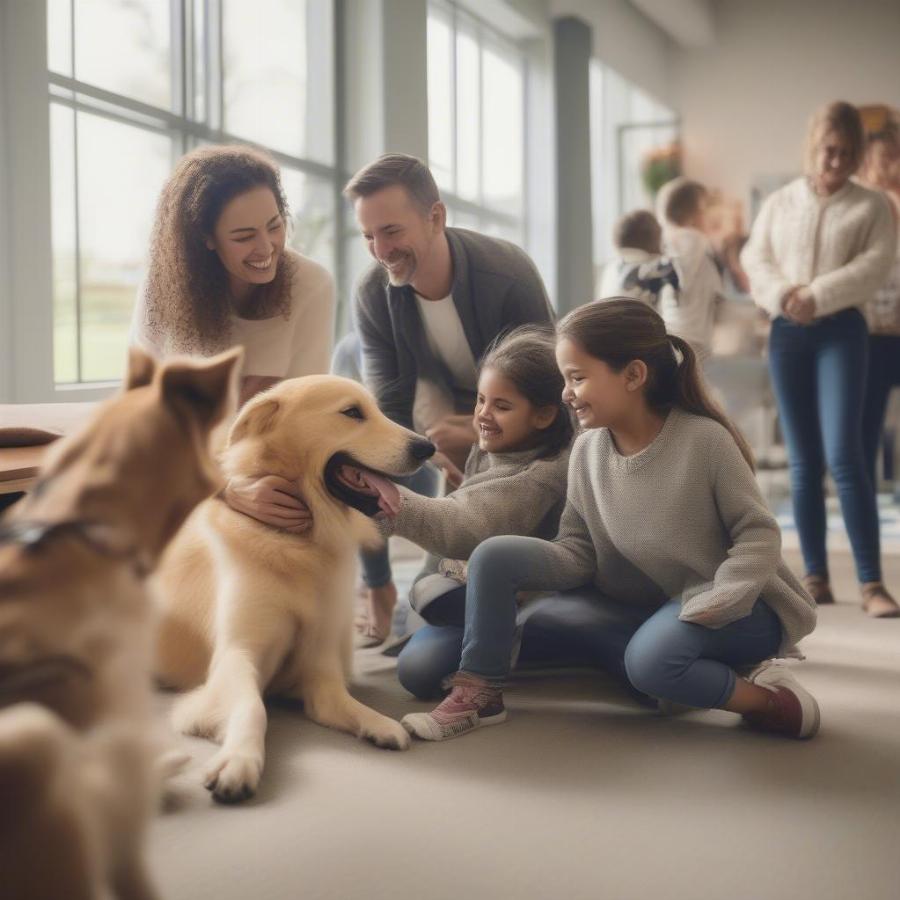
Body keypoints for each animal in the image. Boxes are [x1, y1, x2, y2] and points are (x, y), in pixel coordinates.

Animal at [155, 372, 436, 800]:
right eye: (352, 412)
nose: (427, 447)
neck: (298, 544)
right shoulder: (237, 654)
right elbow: (252, 708)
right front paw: (238, 761)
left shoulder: (321, 663)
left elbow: (340, 701)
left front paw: (379, 723)